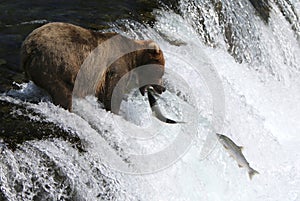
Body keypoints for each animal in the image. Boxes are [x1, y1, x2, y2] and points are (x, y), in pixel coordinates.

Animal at [21, 23, 165, 113]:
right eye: (161, 73)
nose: (163, 88)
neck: (133, 59)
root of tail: (28, 48)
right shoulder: (116, 66)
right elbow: (113, 92)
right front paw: (114, 110)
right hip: (57, 65)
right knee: (63, 93)